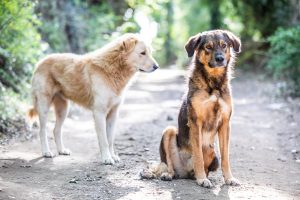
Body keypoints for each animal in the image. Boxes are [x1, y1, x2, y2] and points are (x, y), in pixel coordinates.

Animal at [27, 33, 159, 164]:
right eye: (142, 53)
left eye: (150, 52)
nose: (157, 67)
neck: (112, 69)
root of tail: (39, 62)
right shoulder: (99, 113)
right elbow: (104, 140)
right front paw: (106, 158)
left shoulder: (113, 114)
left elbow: (110, 139)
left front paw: (112, 156)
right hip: (44, 106)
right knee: (42, 130)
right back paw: (46, 152)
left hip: (63, 109)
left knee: (56, 130)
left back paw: (62, 150)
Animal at [141, 29, 241, 188]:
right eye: (208, 47)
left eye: (224, 45)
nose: (220, 59)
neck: (213, 83)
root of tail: (184, 172)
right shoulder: (195, 122)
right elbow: (198, 155)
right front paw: (202, 179)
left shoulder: (225, 123)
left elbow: (225, 157)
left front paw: (229, 178)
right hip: (169, 131)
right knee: (168, 165)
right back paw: (169, 174)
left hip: (213, 156)